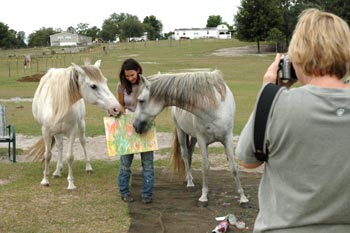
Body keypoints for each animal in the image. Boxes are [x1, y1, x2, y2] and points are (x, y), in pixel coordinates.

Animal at [27, 60, 121, 189]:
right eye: (93, 86)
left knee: (83, 142)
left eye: (105, 81)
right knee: (60, 146)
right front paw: (45, 180)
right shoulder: (46, 132)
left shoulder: (72, 131)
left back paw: (88, 167)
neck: (58, 104)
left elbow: (70, 157)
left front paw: (71, 183)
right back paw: (57, 171)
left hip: (81, 126)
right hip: (57, 132)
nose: (116, 108)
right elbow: (47, 155)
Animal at [133, 70, 250, 207]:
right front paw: (203, 197)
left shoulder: (227, 138)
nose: (135, 126)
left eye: (140, 101)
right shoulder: (202, 140)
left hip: (193, 137)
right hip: (181, 132)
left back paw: (189, 178)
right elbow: (205, 167)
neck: (213, 108)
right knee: (184, 154)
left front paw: (243, 198)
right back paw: (189, 182)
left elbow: (234, 168)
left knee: (190, 153)